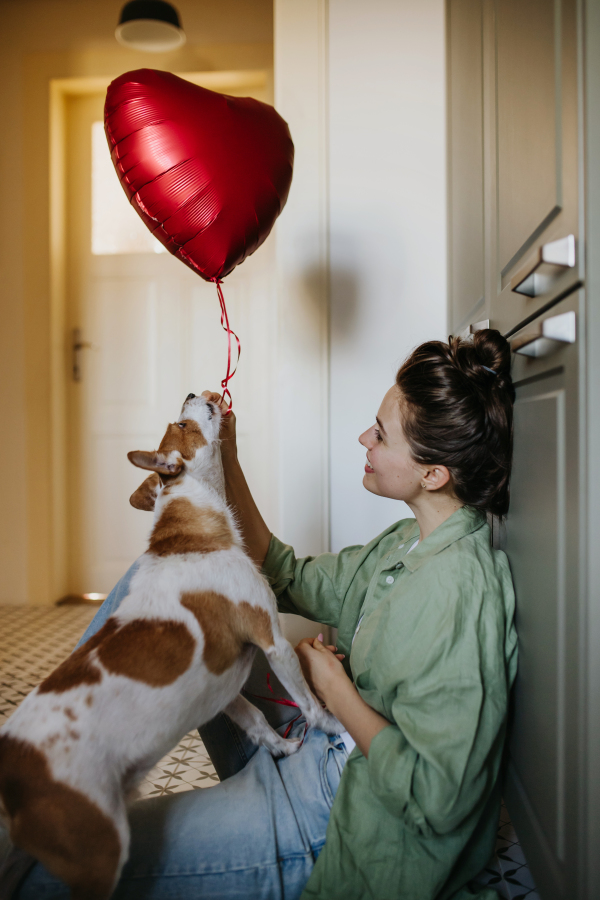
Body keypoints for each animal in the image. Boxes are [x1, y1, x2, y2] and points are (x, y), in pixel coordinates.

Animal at [0, 394, 340, 900]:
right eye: (181, 423)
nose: (195, 392)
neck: (194, 534)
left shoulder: (222, 690)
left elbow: (257, 721)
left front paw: (280, 748)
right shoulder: (272, 641)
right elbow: (309, 702)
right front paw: (333, 725)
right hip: (97, 850)